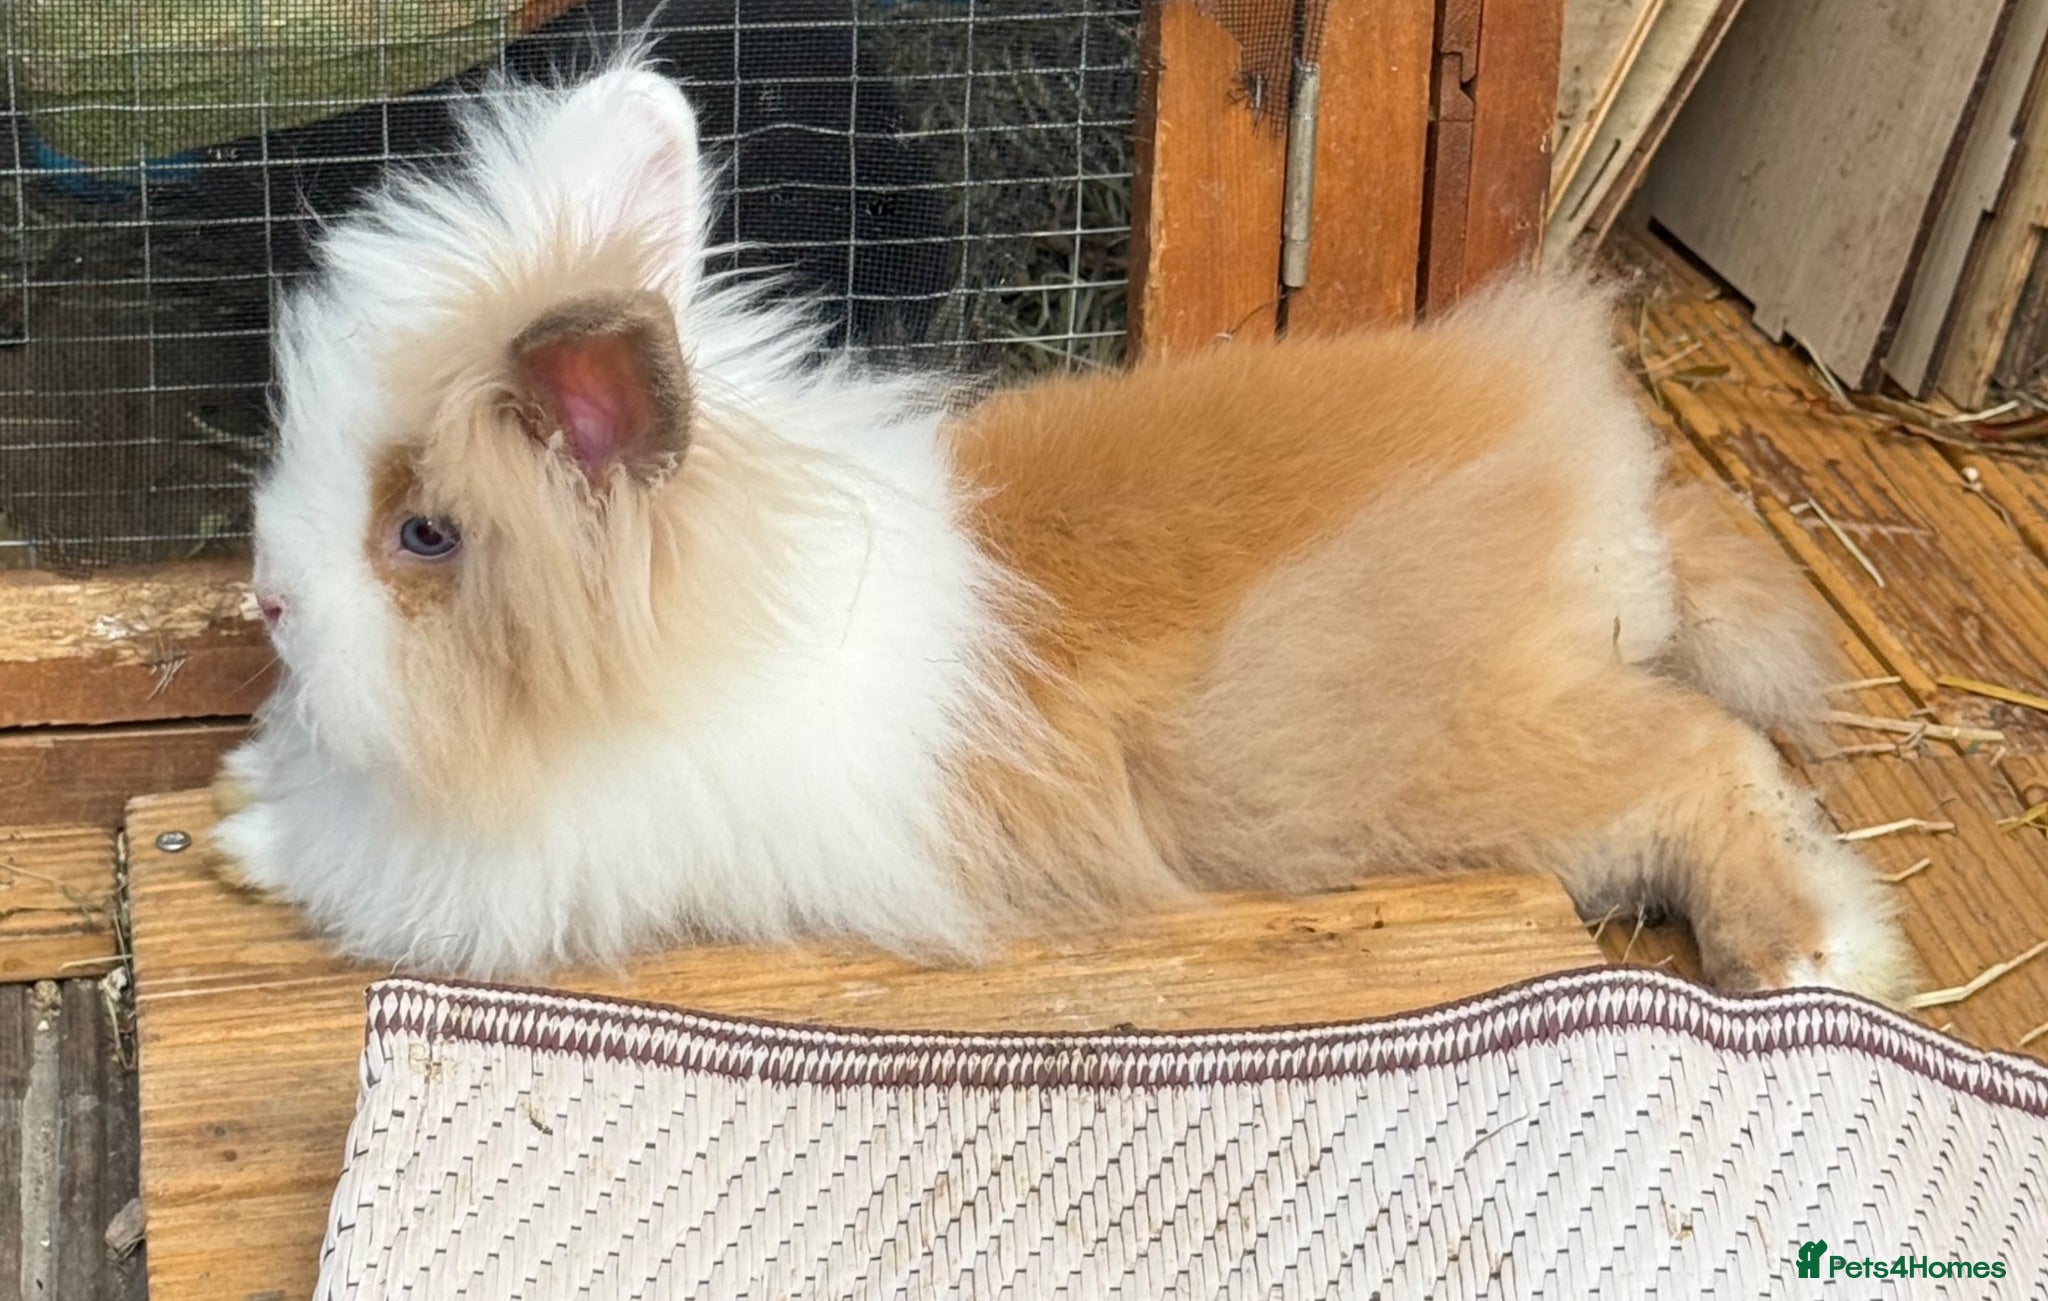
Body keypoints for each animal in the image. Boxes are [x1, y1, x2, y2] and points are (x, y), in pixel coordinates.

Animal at [212, 59, 1914, 1005]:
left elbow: (363, 864)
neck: (688, 601)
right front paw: (247, 777)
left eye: (425, 536)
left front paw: (245, 835)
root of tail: (1599, 485)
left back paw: (1813, 956)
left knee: (1706, 757)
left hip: (1461, 752)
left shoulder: (542, 857)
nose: (270, 607)